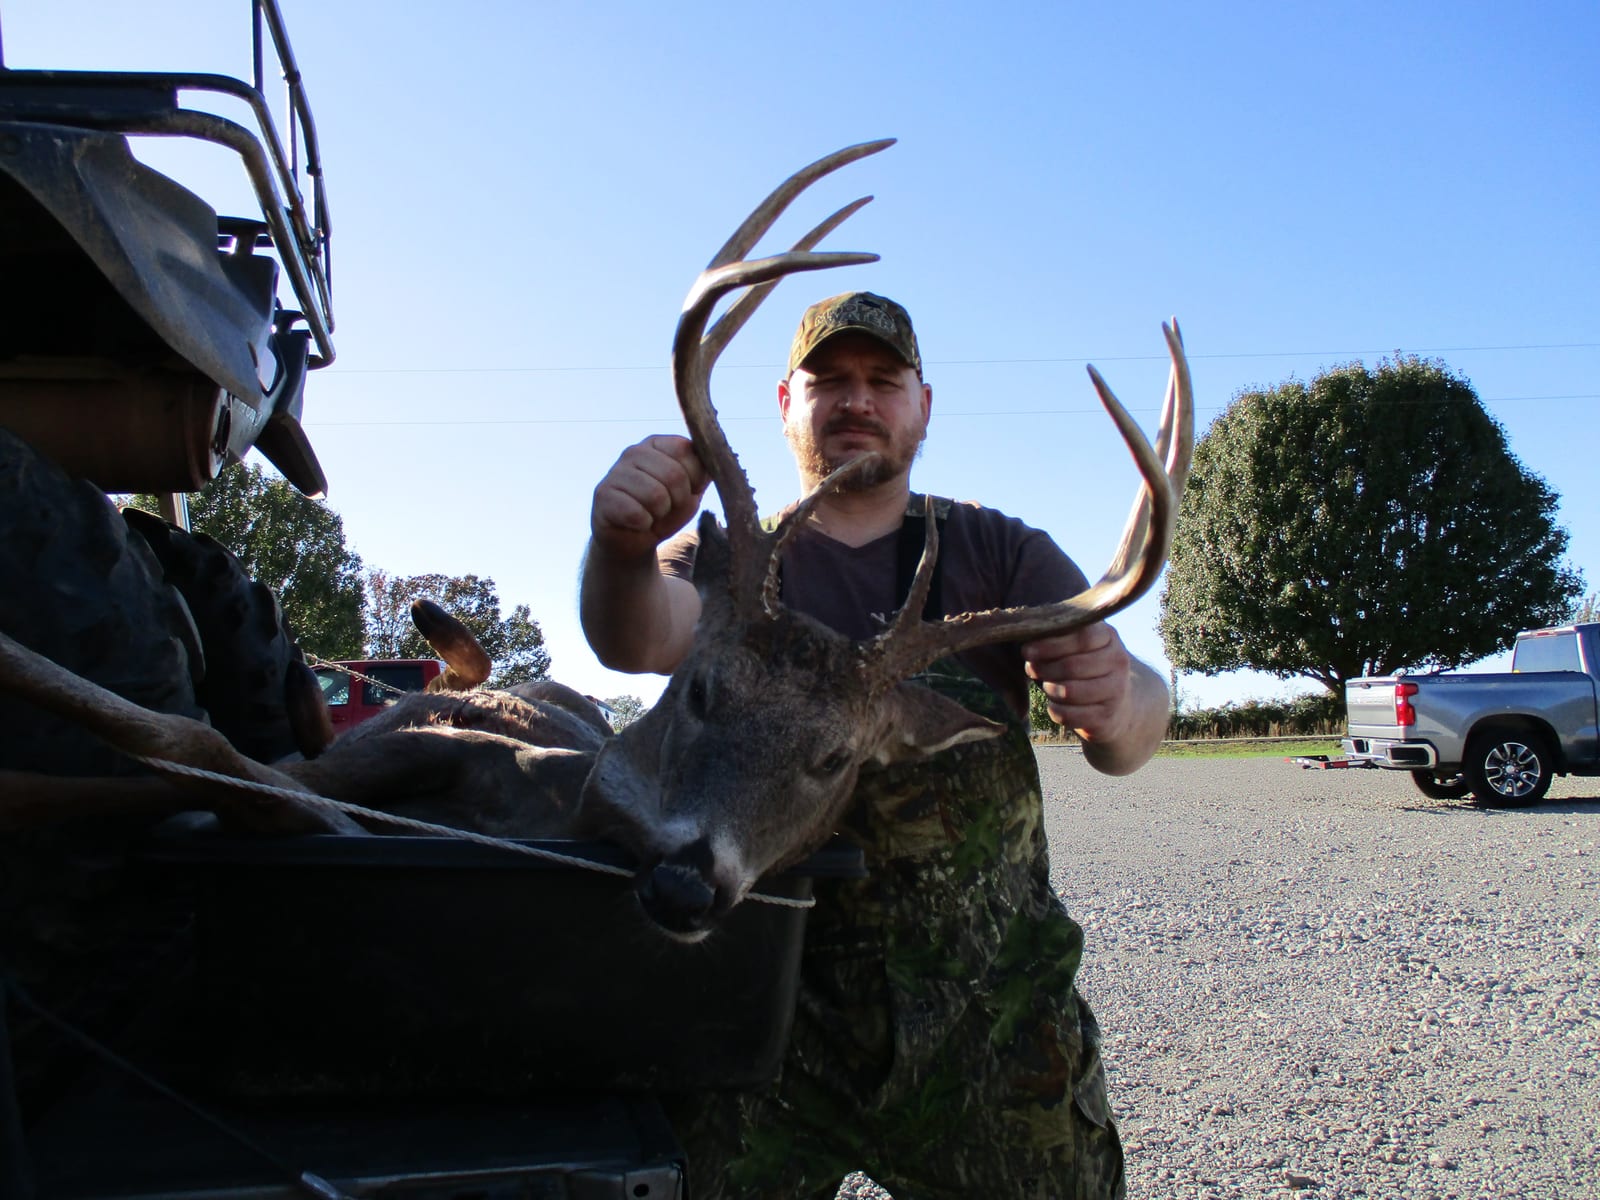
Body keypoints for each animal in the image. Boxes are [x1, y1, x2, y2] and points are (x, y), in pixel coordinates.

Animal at [0, 139, 1192, 943]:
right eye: (699, 689)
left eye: (836, 759)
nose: (683, 884)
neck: (549, 805)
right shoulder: (385, 752)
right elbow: (214, 756)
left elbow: (241, 779)